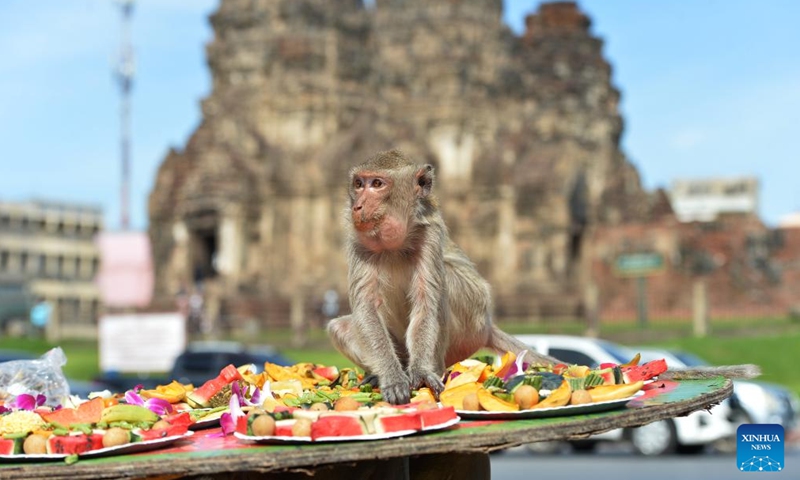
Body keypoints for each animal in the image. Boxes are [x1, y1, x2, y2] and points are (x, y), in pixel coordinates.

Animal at [324, 150, 556, 404]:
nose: (357, 206)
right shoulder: (359, 241)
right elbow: (366, 308)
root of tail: (487, 327)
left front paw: (422, 372)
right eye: (358, 184)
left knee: (444, 285)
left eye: (377, 184)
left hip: (471, 324)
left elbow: (426, 302)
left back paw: (434, 369)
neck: (394, 245)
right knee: (339, 327)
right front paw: (391, 377)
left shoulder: (430, 235)